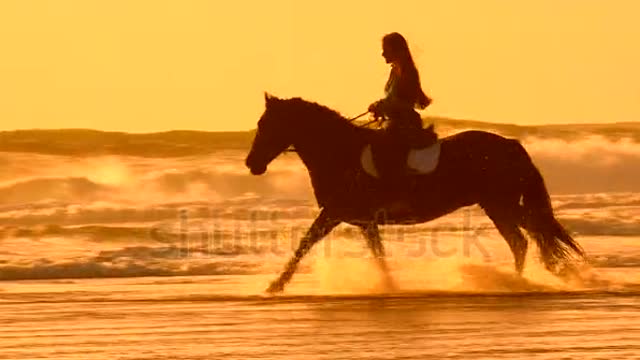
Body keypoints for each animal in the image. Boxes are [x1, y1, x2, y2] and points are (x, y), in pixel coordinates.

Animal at [246, 93, 584, 292]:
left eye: (267, 124)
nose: (252, 164)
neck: (339, 151)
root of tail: (512, 145)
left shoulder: (338, 213)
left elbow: (306, 244)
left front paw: (276, 284)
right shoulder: (357, 219)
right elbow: (372, 252)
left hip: (502, 205)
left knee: (527, 238)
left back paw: (521, 281)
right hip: (500, 206)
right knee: (527, 238)